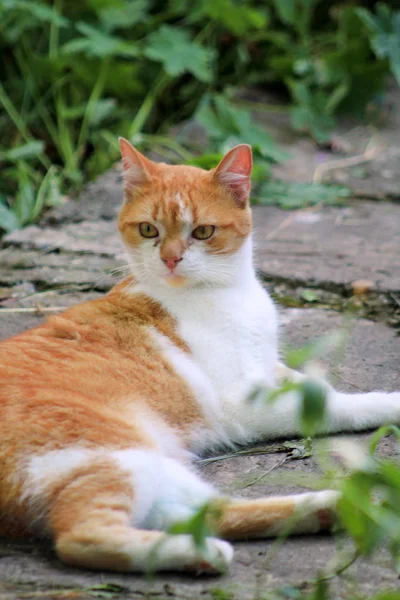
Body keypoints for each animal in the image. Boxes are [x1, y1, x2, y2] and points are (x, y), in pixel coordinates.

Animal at [0, 138, 398, 576]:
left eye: (203, 232)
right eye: (149, 230)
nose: (170, 258)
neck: (227, 291)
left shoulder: (266, 367)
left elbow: (309, 383)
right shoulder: (242, 405)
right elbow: (333, 403)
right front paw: (388, 402)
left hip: (156, 469)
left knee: (207, 512)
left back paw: (333, 507)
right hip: (111, 455)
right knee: (81, 535)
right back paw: (204, 553)